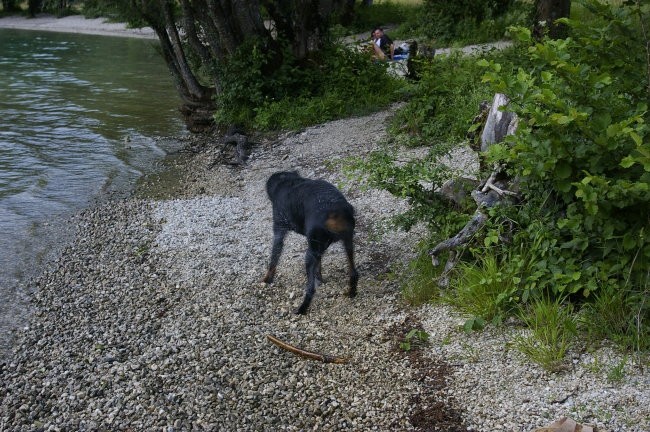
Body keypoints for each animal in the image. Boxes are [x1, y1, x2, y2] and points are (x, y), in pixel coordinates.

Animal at [260, 170, 356, 314]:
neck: (287, 181)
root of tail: (334, 211)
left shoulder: (279, 231)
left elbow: (273, 260)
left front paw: (267, 280)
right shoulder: (318, 249)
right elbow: (319, 267)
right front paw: (320, 278)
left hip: (309, 255)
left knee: (311, 289)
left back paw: (301, 309)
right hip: (347, 244)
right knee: (354, 273)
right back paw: (352, 292)